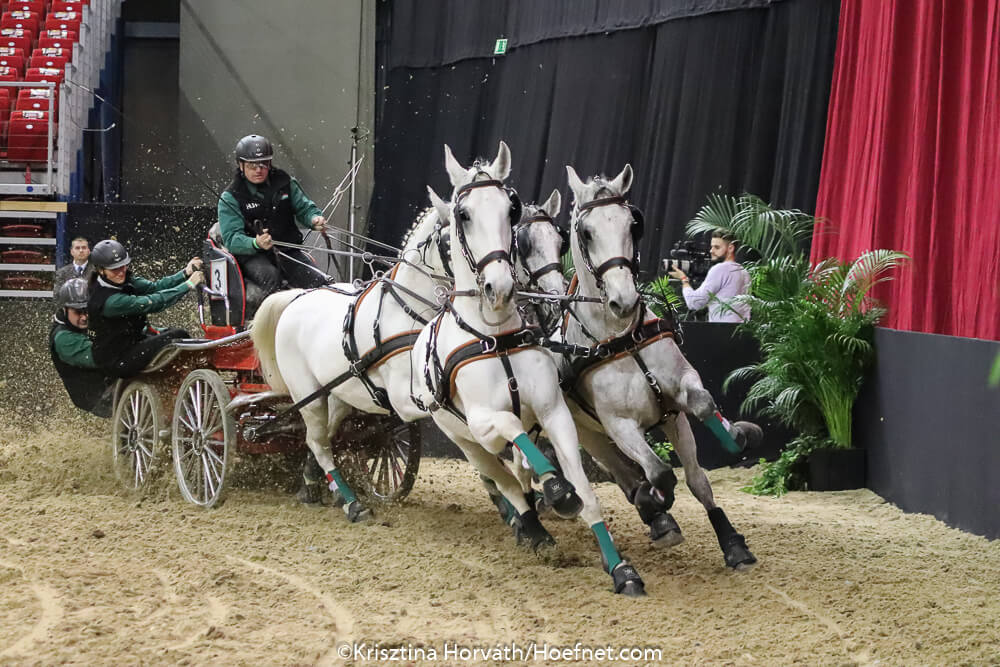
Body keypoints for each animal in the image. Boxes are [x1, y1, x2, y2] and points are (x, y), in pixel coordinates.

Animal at [410, 143, 647, 596]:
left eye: (511, 209)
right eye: (463, 214)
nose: (500, 287)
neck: (496, 335)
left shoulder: (554, 413)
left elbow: (585, 490)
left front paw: (621, 569)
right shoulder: (483, 421)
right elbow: (511, 427)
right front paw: (555, 489)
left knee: (514, 472)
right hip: (464, 440)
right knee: (499, 478)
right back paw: (531, 527)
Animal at [551, 163, 760, 570]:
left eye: (633, 224)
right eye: (585, 232)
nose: (624, 300)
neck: (621, 337)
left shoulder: (676, 403)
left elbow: (699, 465)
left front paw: (733, 543)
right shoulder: (618, 424)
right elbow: (661, 473)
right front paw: (656, 505)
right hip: (589, 433)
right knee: (626, 474)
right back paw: (654, 512)